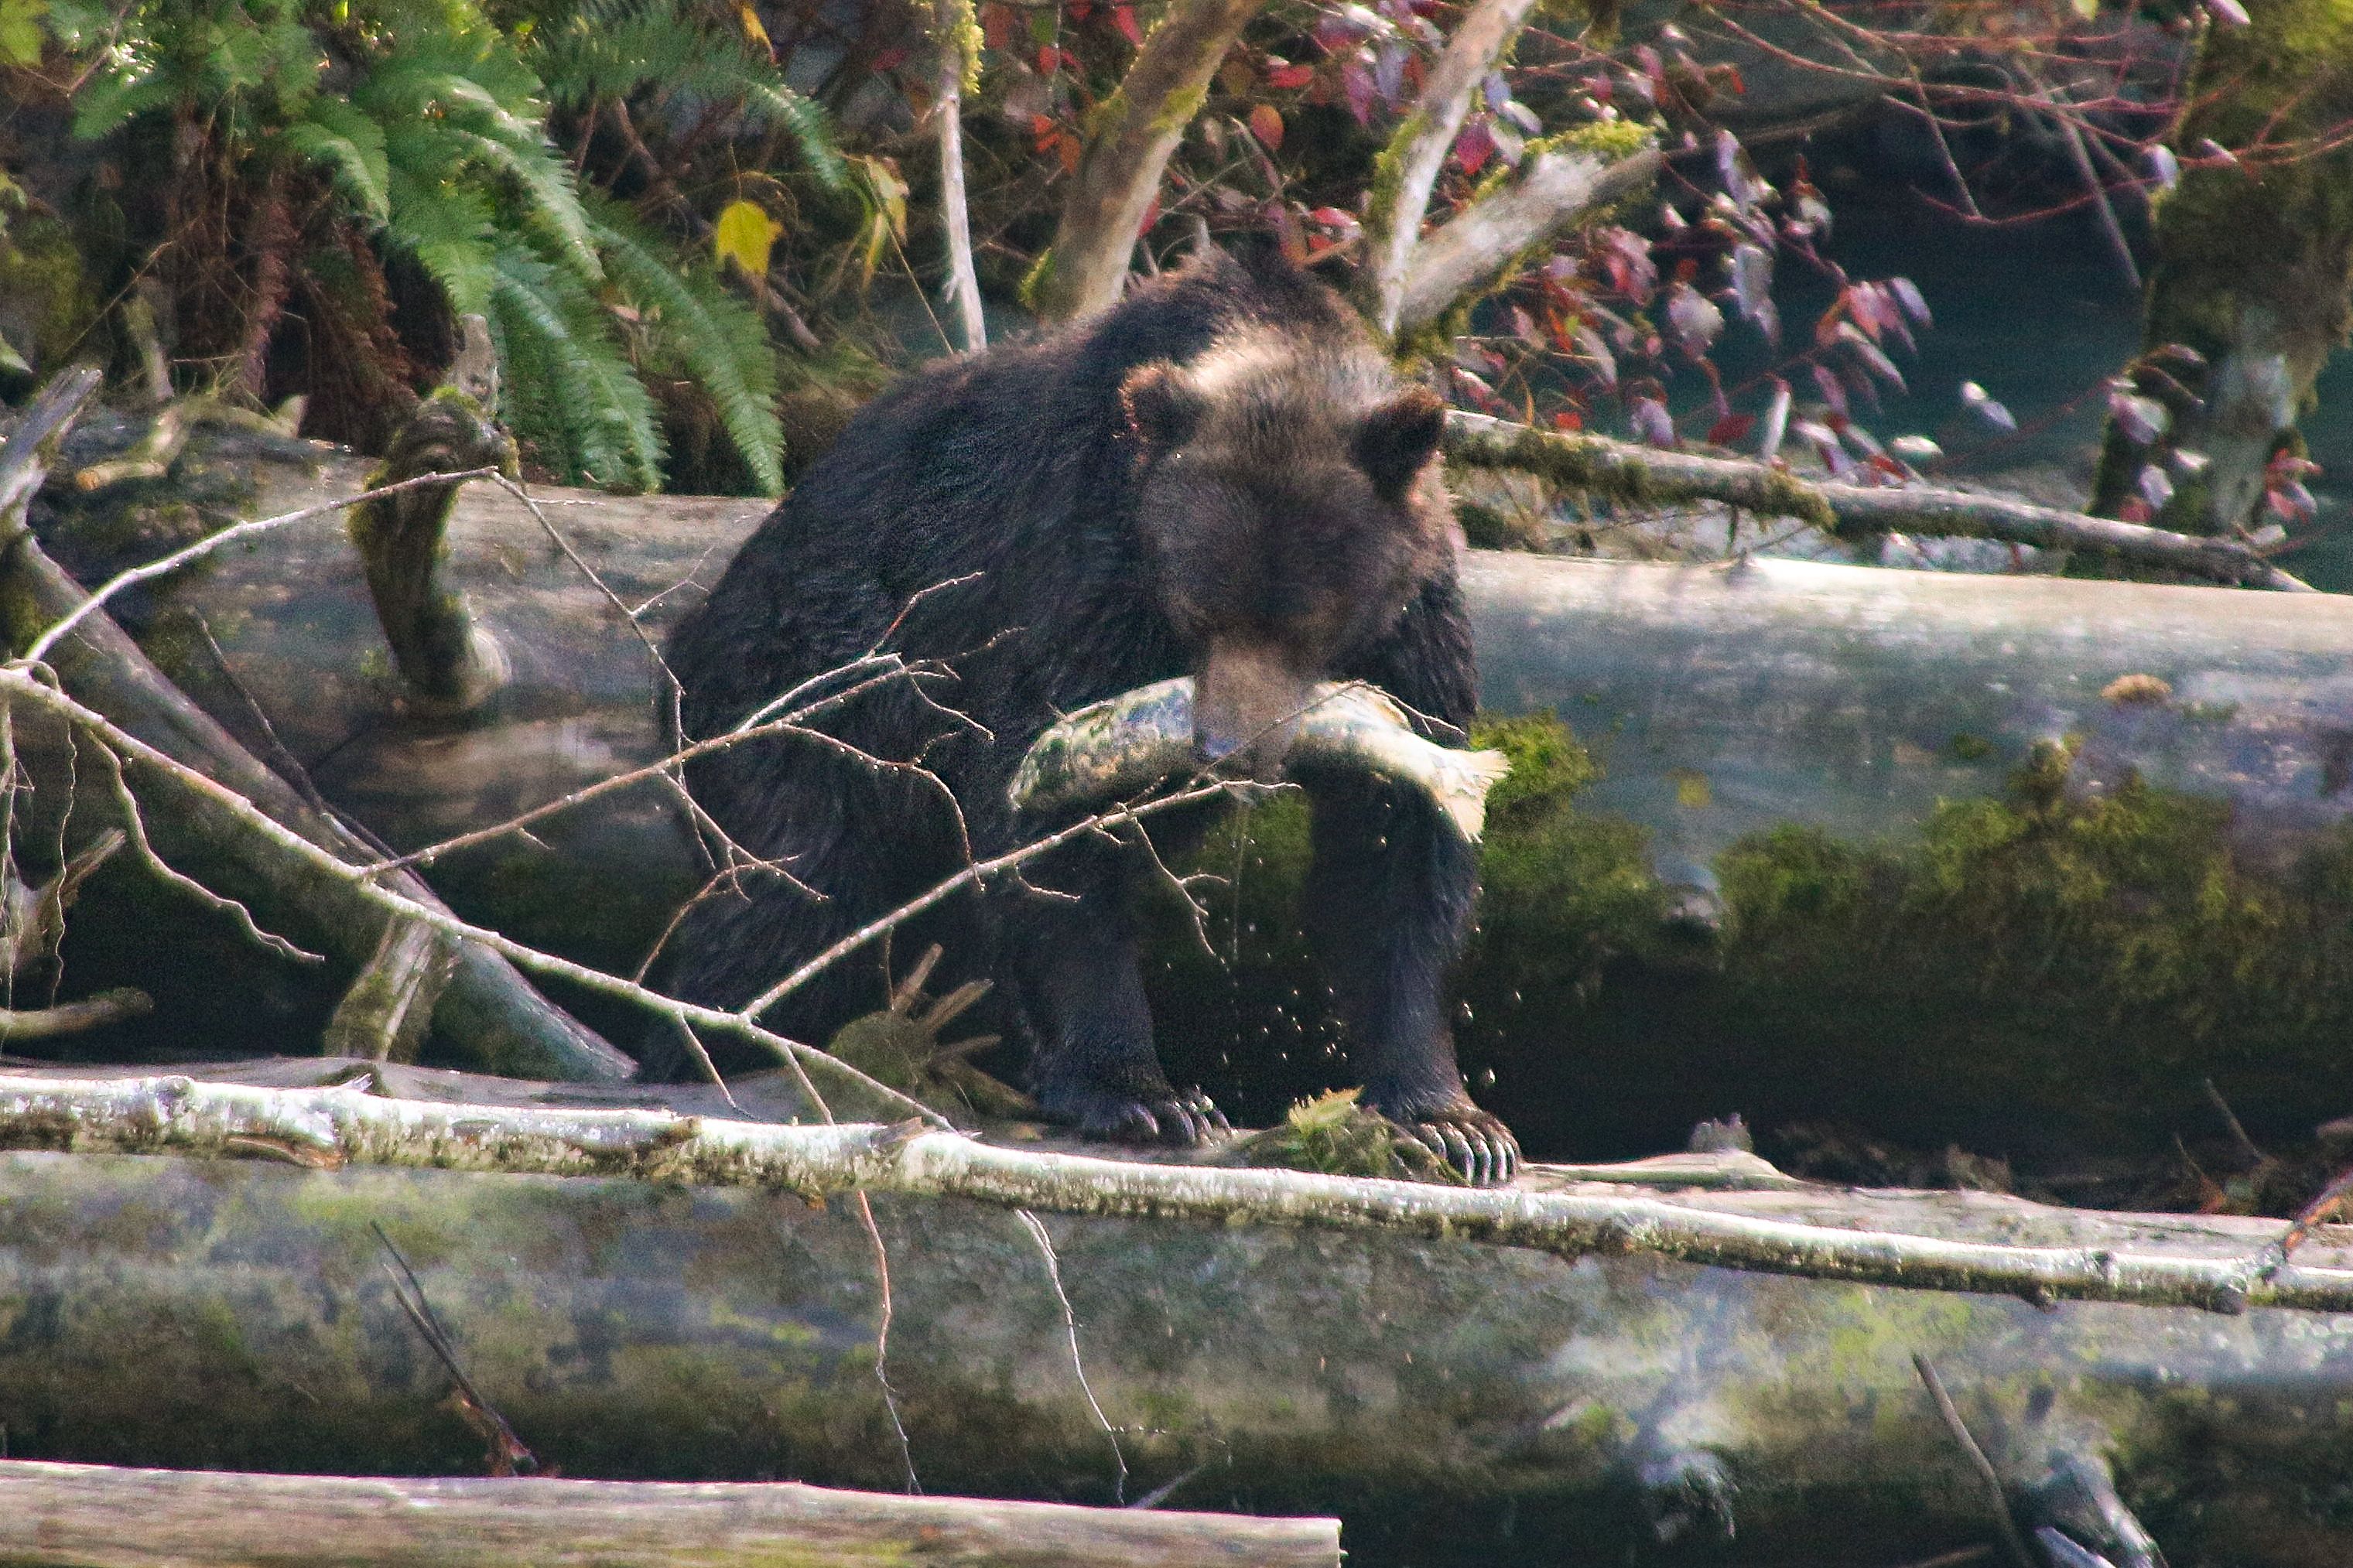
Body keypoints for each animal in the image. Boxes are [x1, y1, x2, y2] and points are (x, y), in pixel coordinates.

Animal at [654, 242, 1515, 1189]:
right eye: (1199, 609)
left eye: (1306, 619)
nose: (1227, 747)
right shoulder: (1084, 571)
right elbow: (1048, 826)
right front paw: (1144, 1091)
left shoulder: (1414, 637)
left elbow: (1394, 851)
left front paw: (1449, 1120)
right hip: (807, 702)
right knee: (785, 901)